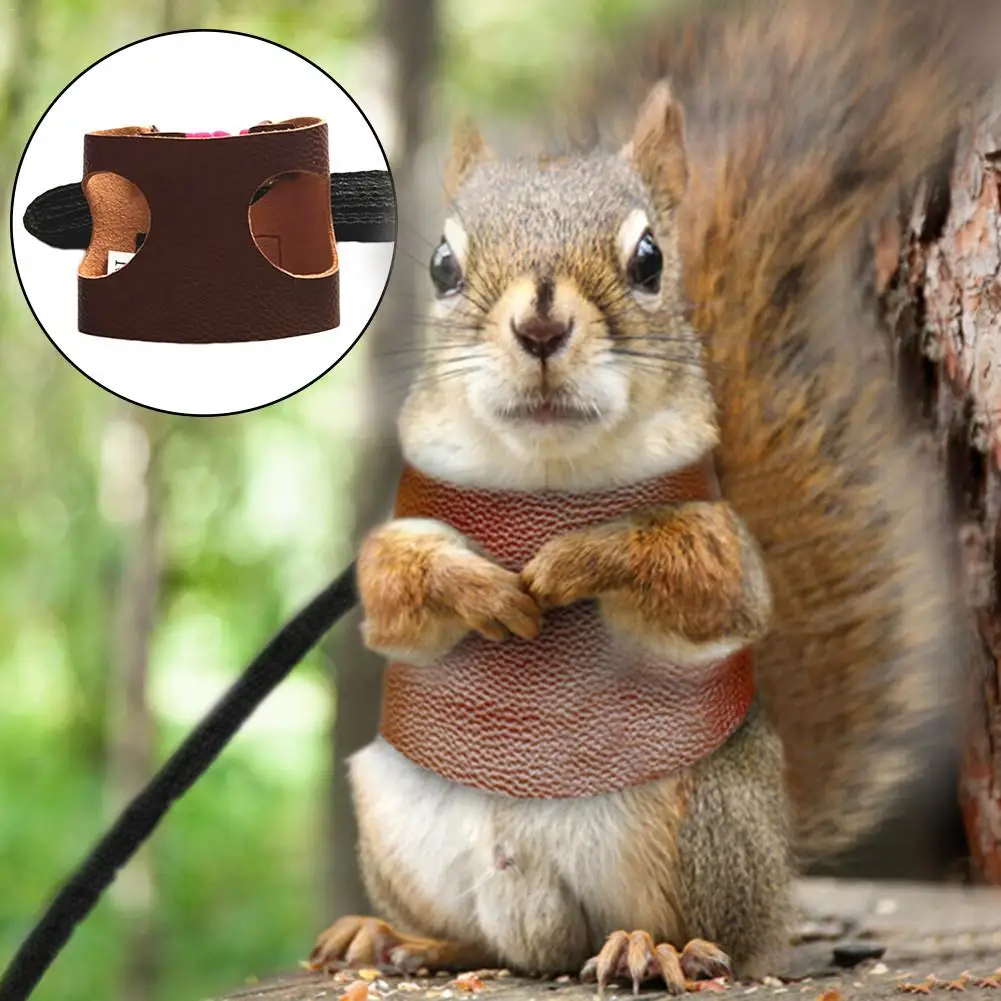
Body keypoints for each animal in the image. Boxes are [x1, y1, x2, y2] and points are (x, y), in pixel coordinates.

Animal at [308, 0, 990, 990]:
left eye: (649, 259)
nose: (540, 324)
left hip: (694, 819)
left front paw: (570, 561)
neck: (544, 476)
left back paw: (649, 944)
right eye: (439, 263)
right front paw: (479, 584)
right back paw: (397, 937)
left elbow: (706, 581)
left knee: (707, 936)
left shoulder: (715, 534)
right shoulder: (408, 525)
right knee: (483, 941)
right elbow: (392, 587)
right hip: (394, 809)